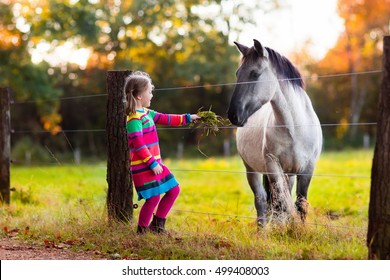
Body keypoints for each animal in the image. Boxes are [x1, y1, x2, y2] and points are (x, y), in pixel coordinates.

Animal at [227, 39, 322, 226]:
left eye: (255, 74)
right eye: (237, 74)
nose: (233, 115)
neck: (294, 129)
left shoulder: (307, 169)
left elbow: (299, 206)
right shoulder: (272, 167)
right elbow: (280, 205)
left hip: (289, 174)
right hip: (252, 170)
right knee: (262, 201)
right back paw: (262, 230)